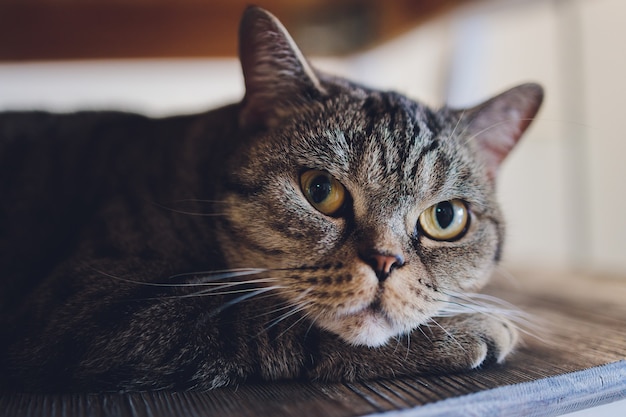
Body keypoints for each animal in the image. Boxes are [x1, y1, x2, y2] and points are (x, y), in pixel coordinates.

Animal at [0, 5, 540, 390]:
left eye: (445, 217)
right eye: (320, 190)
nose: (385, 262)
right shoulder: (93, 304)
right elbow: (266, 323)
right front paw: (467, 330)